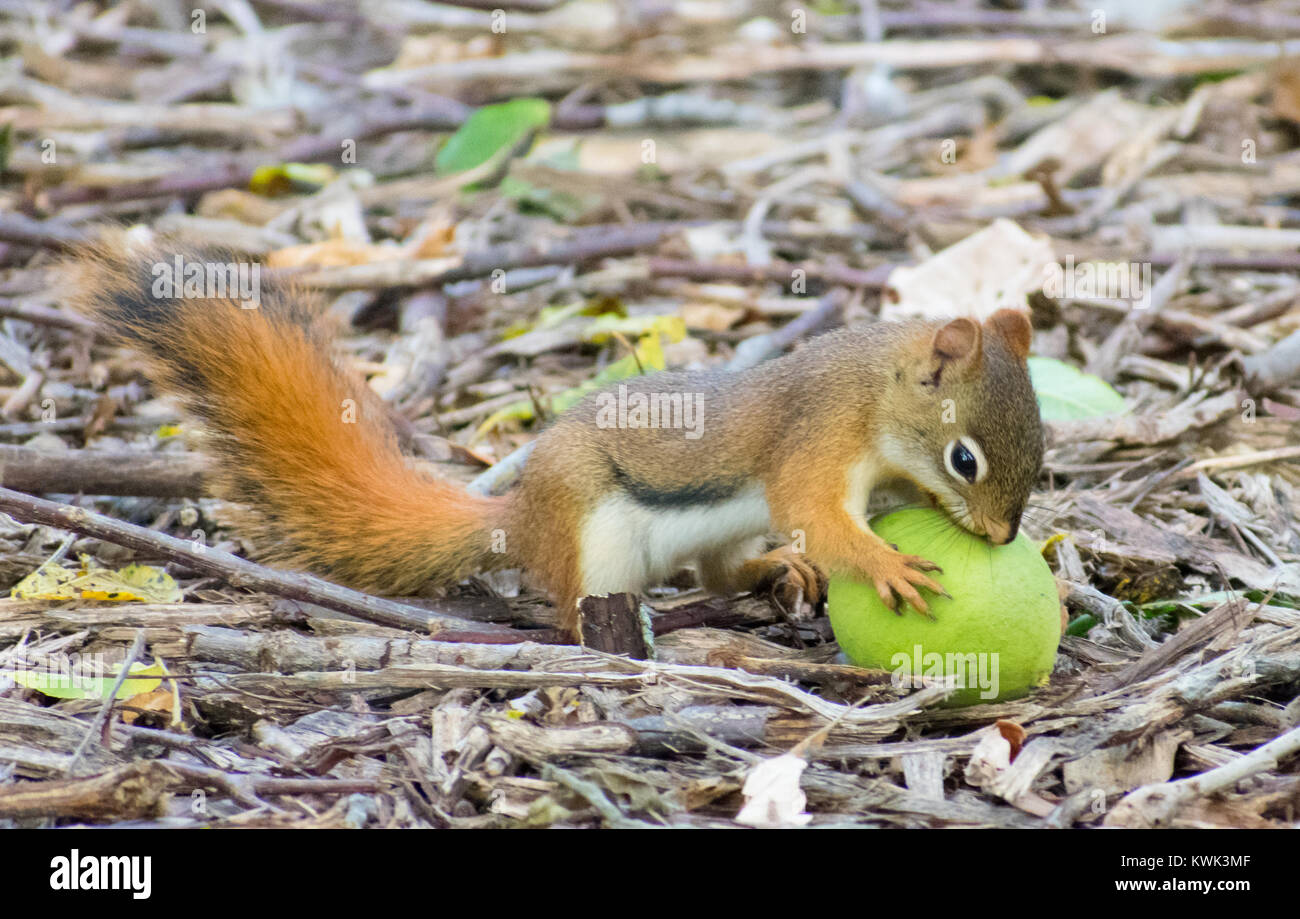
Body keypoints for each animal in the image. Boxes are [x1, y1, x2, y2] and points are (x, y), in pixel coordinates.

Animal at [67, 234, 1044, 640]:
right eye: (965, 457)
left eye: (1040, 450)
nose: (1002, 537)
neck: (874, 393)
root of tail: (521, 516)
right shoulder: (816, 440)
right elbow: (820, 508)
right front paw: (884, 563)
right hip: (592, 531)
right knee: (583, 606)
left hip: (713, 530)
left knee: (720, 567)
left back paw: (773, 569)